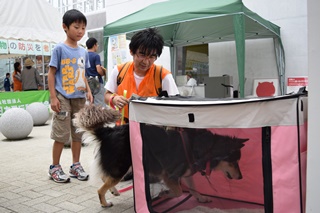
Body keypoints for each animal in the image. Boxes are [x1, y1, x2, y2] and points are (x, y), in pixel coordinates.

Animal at [74, 105, 248, 208]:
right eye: (234, 161)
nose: (240, 177)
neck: (202, 148)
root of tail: (108, 131)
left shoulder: (186, 172)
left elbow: (192, 188)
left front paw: (201, 198)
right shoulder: (169, 175)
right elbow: (178, 191)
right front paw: (166, 194)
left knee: (105, 177)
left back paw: (114, 191)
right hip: (121, 167)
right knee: (100, 187)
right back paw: (105, 202)